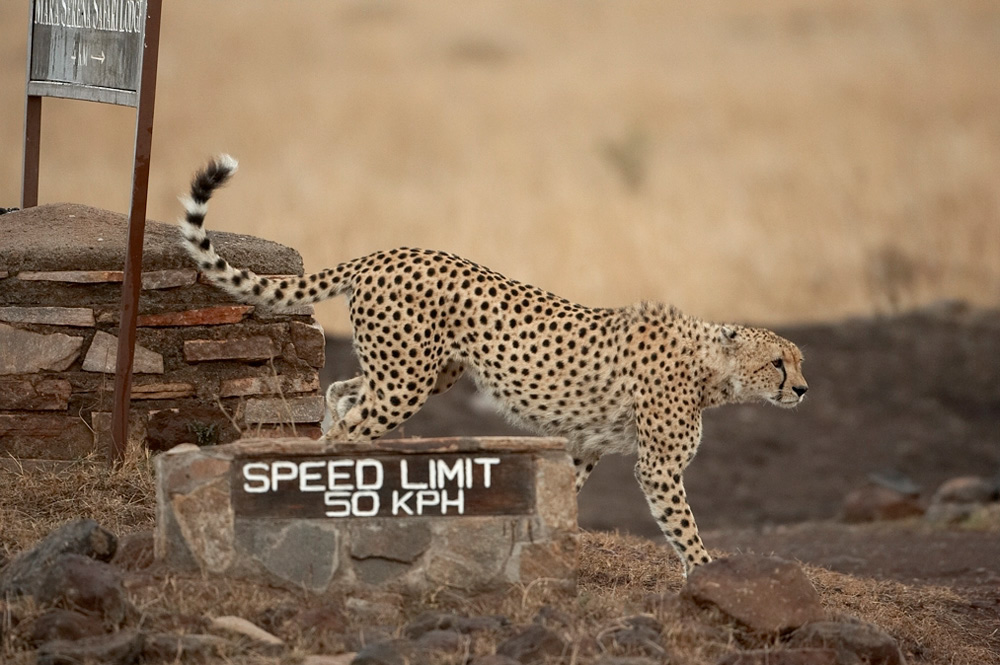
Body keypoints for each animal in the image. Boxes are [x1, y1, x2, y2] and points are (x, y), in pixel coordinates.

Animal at [178, 155, 809, 575]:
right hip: (406, 381)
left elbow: (565, 492)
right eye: (778, 364)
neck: (711, 370)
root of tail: (387, 252)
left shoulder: (585, 443)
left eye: (798, 362)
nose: (803, 391)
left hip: (423, 372)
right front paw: (706, 574)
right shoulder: (657, 467)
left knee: (341, 395)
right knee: (347, 428)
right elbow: (683, 525)